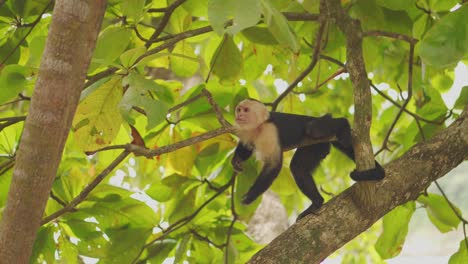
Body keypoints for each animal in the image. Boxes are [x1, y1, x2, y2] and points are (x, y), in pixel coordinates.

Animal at [232, 98, 386, 220]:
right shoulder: (244, 131)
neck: (259, 127)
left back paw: (342, 124)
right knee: (298, 168)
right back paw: (316, 202)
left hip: (319, 132)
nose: (239, 114)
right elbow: (245, 147)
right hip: (316, 147)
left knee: (313, 128)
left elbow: (274, 164)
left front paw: (251, 195)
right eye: (239, 109)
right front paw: (236, 161)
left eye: (246, 110)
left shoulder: (269, 131)